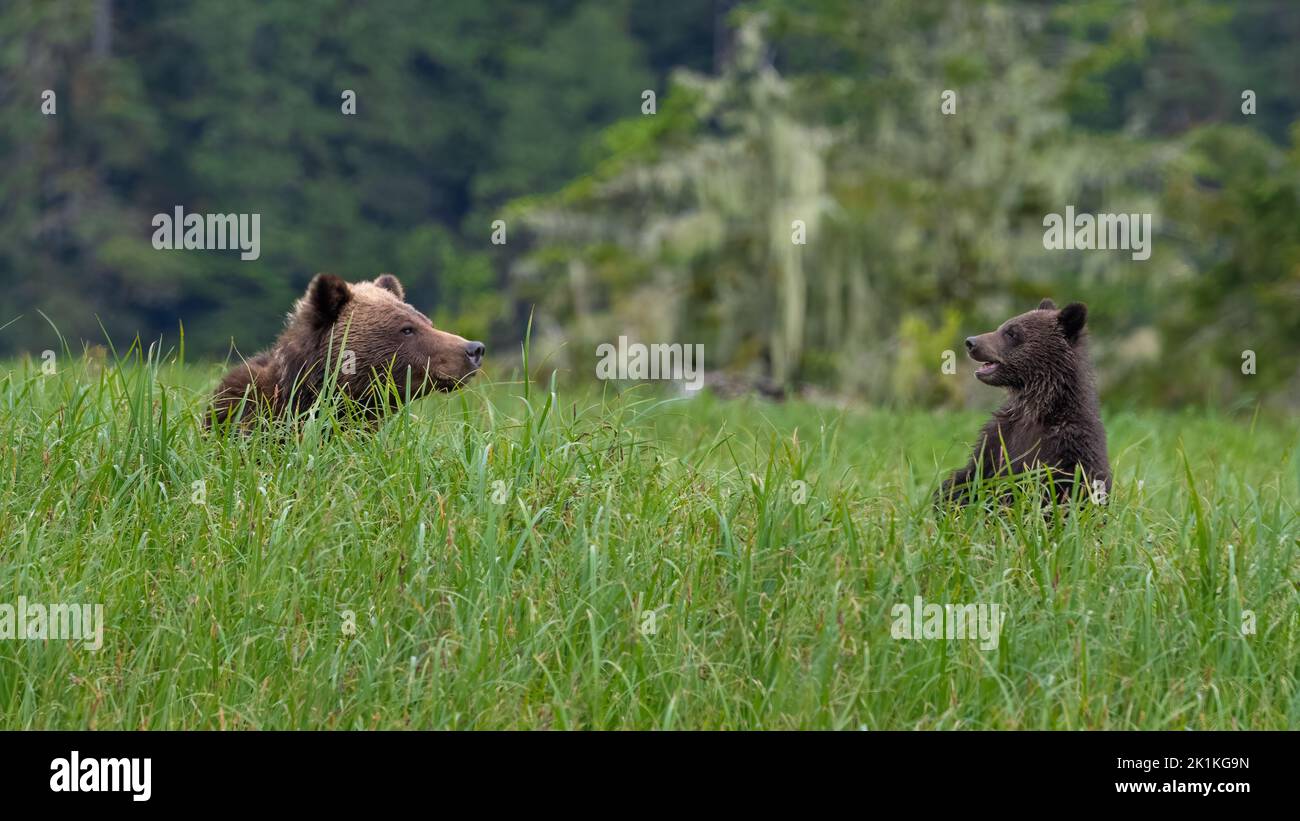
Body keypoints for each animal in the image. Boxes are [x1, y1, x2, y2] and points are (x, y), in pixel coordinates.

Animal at [941, 298, 1112, 506]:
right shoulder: (999, 438)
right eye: (1002, 326)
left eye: (1011, 332)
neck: (1036, 408)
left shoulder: (1070, 445)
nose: (971, 342)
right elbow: (970, 478)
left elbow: (1066, 487)